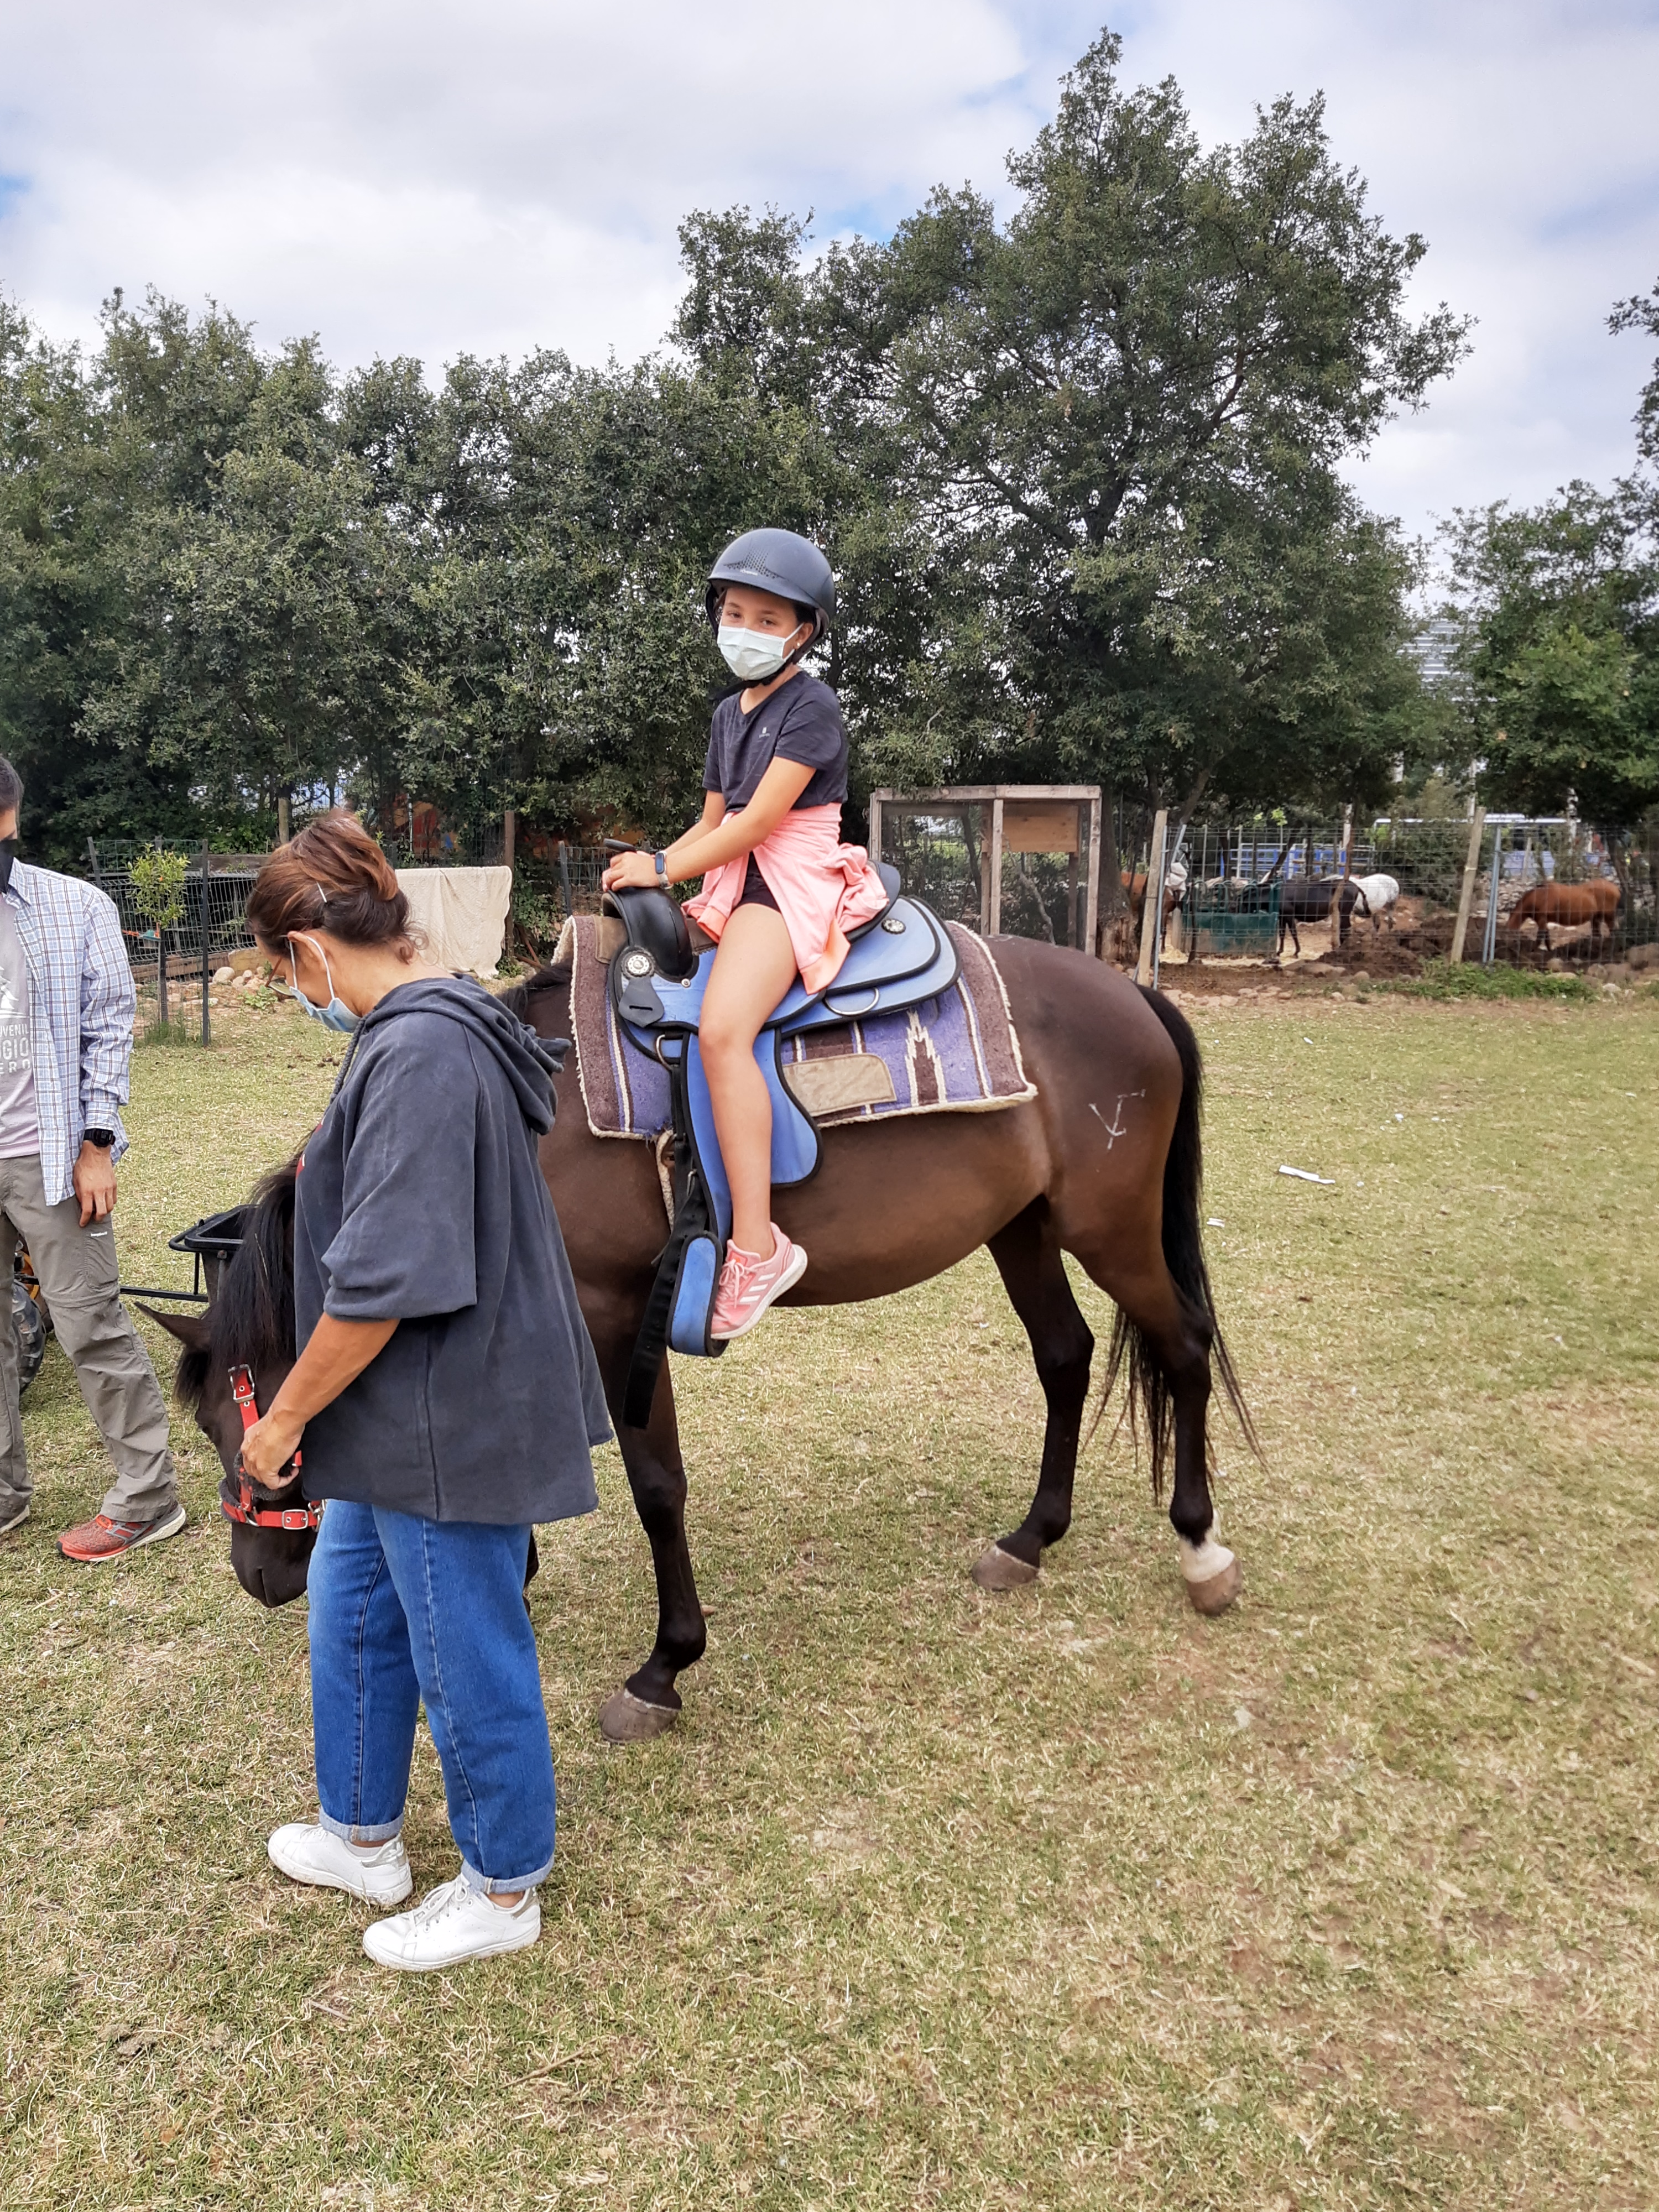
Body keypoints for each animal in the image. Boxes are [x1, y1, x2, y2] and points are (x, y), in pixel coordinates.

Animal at [157, 939, 1255, 1744]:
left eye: (248, 1429)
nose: (258, 1578)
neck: (516, 1122)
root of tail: (1133, 993)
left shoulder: (616, 1315)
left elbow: (656, 1490)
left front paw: (663, 1666)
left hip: (1110, 1230)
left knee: (1186, 1349)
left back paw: (1201, 1548)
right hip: (1022, 1226)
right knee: (1065, 1358)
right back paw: (1030, 1539)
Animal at [1505, 879, 1621, 955]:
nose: (1510, 950)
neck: (1539, 897)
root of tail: (1616, 889)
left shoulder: (1542, 920)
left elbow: (1540, 938)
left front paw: (1533, 951)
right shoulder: (1543, 922)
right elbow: (1547, 938)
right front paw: (1550, 952)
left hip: (1609, 916)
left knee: (1613, 933)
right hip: (1596, 918)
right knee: (1598, 936)